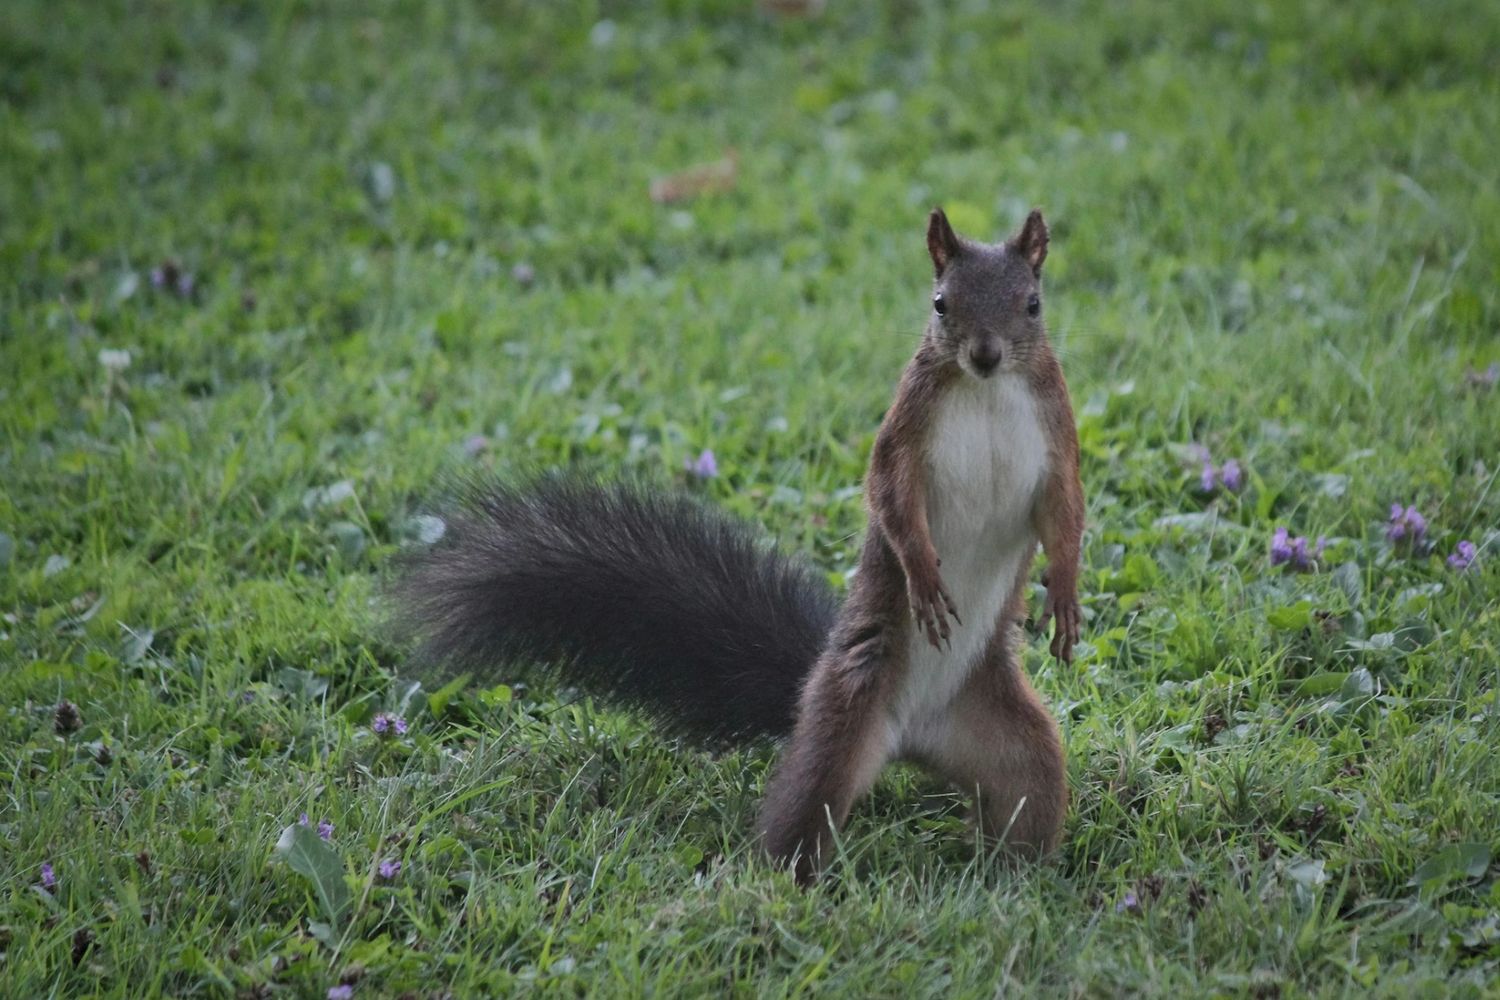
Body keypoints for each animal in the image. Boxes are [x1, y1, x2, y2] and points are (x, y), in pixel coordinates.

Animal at [392, 208, 1084, 885]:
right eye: (941, 303)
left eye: (1032, 304)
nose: (986, 354)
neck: (987, 392)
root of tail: (911, 738)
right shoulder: (905, 429)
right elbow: (890, 495)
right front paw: (923, 576)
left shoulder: (1056, 431)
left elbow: (1065, 512)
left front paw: (1066, 596)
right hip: (840, 725)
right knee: (798, 817)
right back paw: (785, 886)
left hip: (1010, 739)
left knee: (1032, 785)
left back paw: (1015, 876)